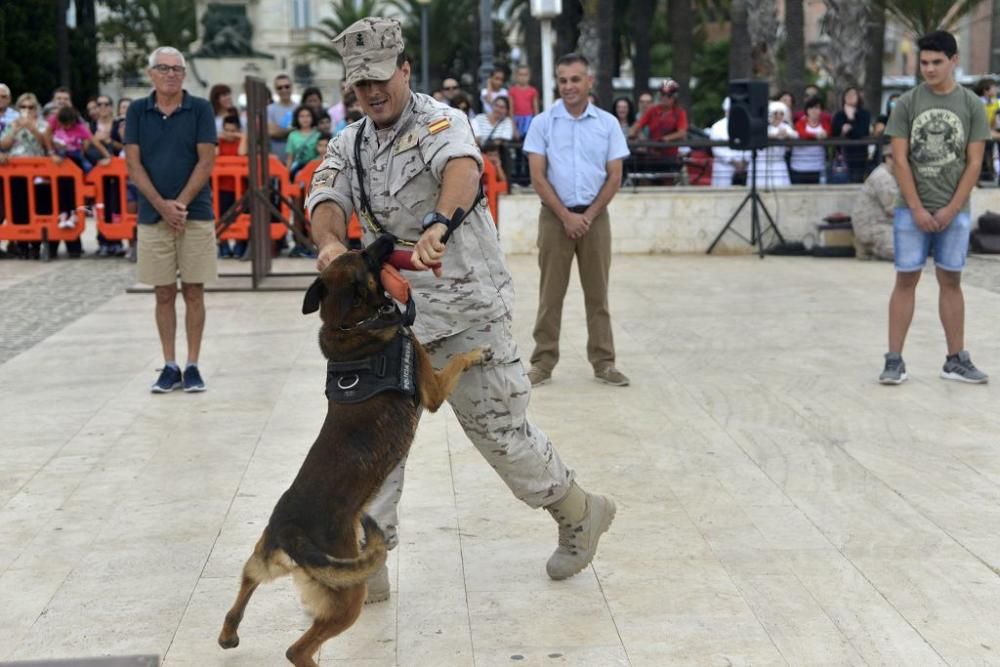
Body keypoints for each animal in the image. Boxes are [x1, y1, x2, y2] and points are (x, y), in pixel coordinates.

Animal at [218, 236, 488, 667]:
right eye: (363, 254)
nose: (386, 239)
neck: (349, 322)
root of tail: (291, 533)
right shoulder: (431, 390)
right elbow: (456, 360)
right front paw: (477, 353)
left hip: (260, 559)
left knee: (242, 591)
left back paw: (229, 635)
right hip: (348, 597)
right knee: (297, 648)